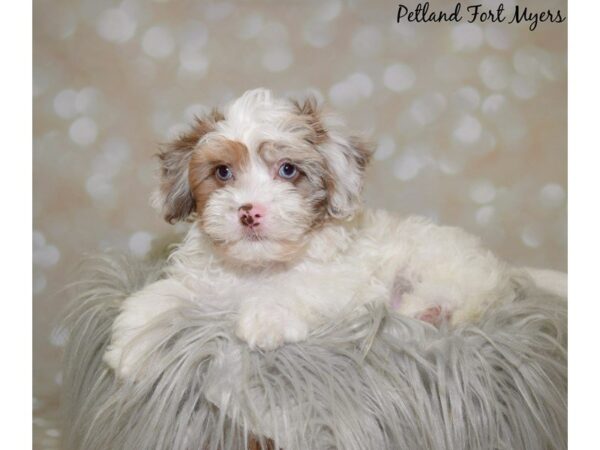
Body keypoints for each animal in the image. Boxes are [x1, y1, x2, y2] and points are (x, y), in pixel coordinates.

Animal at [102, 89, 516, 380]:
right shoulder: (204, 288)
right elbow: (158, 298)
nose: (248, 212)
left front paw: (265, 318)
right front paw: (128, 348)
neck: (258, 268)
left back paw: (428, 312)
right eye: (222, 173)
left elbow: (297, 287)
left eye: (288, 170)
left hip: (443, 268)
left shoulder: (341, 285)